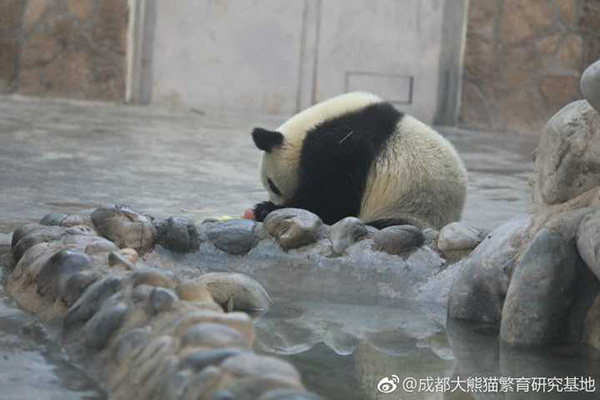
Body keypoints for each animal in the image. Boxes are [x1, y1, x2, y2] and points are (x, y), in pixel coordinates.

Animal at [251, 90, 466, 228]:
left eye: (273, 186)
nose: (275, 201)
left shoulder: (340, 148)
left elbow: (332, 201)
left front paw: (264, 209)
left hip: (407, 208)